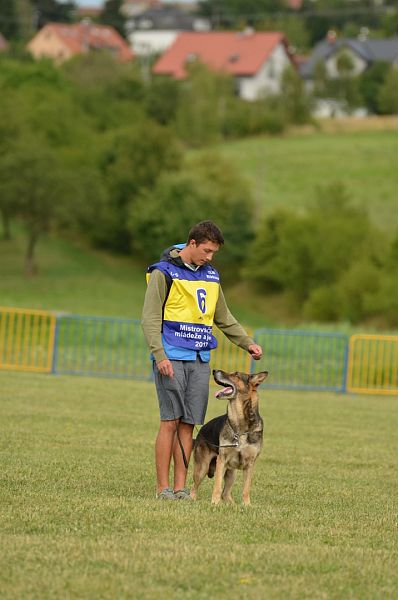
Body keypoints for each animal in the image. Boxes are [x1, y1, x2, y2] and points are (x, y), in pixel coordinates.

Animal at [189, 368, 268, 504]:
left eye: (236, 374)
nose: (214, 370)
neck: (240, 427)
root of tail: (200, 432)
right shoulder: (222, 461)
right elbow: (217, 486)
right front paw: (214, 503)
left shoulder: (250, 465)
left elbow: (246, 489)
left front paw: (247, 505)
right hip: (202, 469)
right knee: (193, 488)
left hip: (231, 474)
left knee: (226, 493)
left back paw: (232, 505)